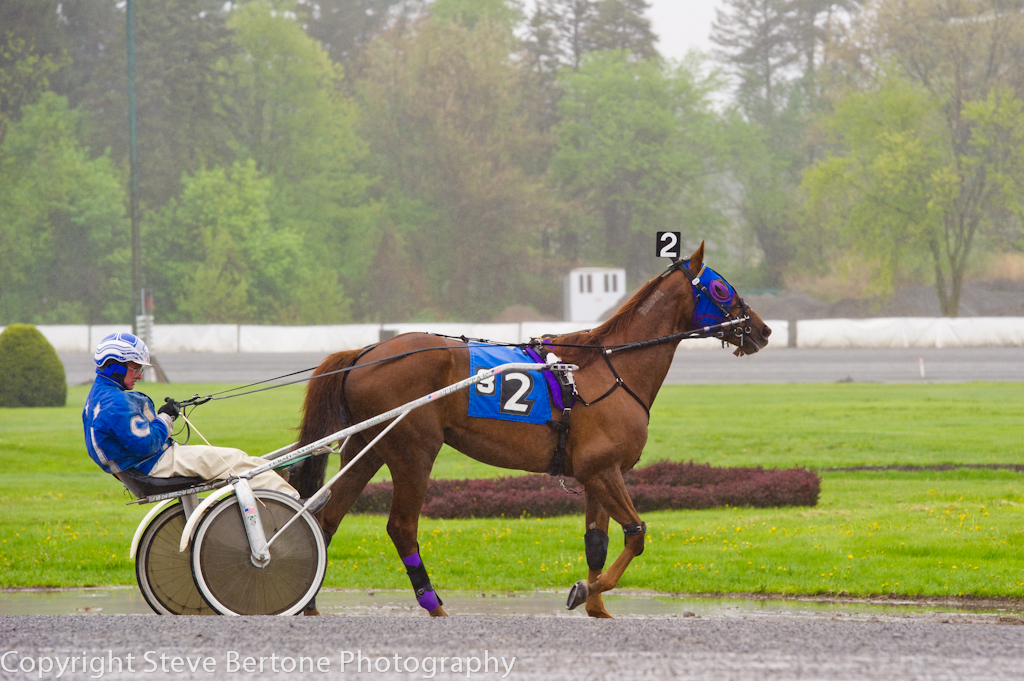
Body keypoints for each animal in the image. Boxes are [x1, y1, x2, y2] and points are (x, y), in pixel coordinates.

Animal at [288, 242, 770, 614]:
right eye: (722, 287)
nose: (762, 330)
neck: (610, 368)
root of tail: (366, 351)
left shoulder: (597, 474)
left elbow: (597, 541)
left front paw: (597, 606)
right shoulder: (602, 469)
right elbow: (635, 536)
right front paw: (584, 590)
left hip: (368, 446)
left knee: (326, 517)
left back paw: (311, 604)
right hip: (413, 450)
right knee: (402, 527)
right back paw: (435, 606)